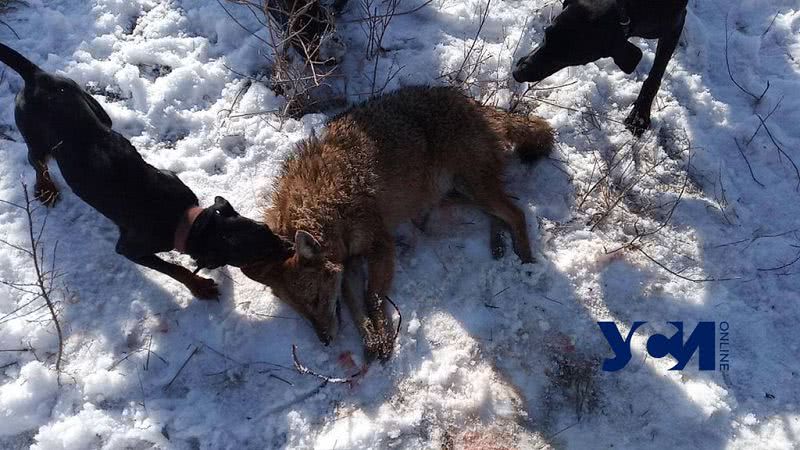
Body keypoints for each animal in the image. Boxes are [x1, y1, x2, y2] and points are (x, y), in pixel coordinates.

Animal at [0, 42, 292, 298]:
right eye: (258, 254)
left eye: (266, 228)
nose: (290, 247)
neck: (185, 219)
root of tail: (36, 76)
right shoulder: (130, 248)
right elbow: (174, 268)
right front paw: (199, 287)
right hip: (36, 136)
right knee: (35, 161)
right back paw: (45, 188)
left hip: (92, 105)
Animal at [516, 0, 692, 135]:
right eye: (545, 35)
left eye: (564, 59)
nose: (516, 73)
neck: (626, 7)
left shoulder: (674, 27)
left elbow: (655, 76)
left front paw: (639, 116)